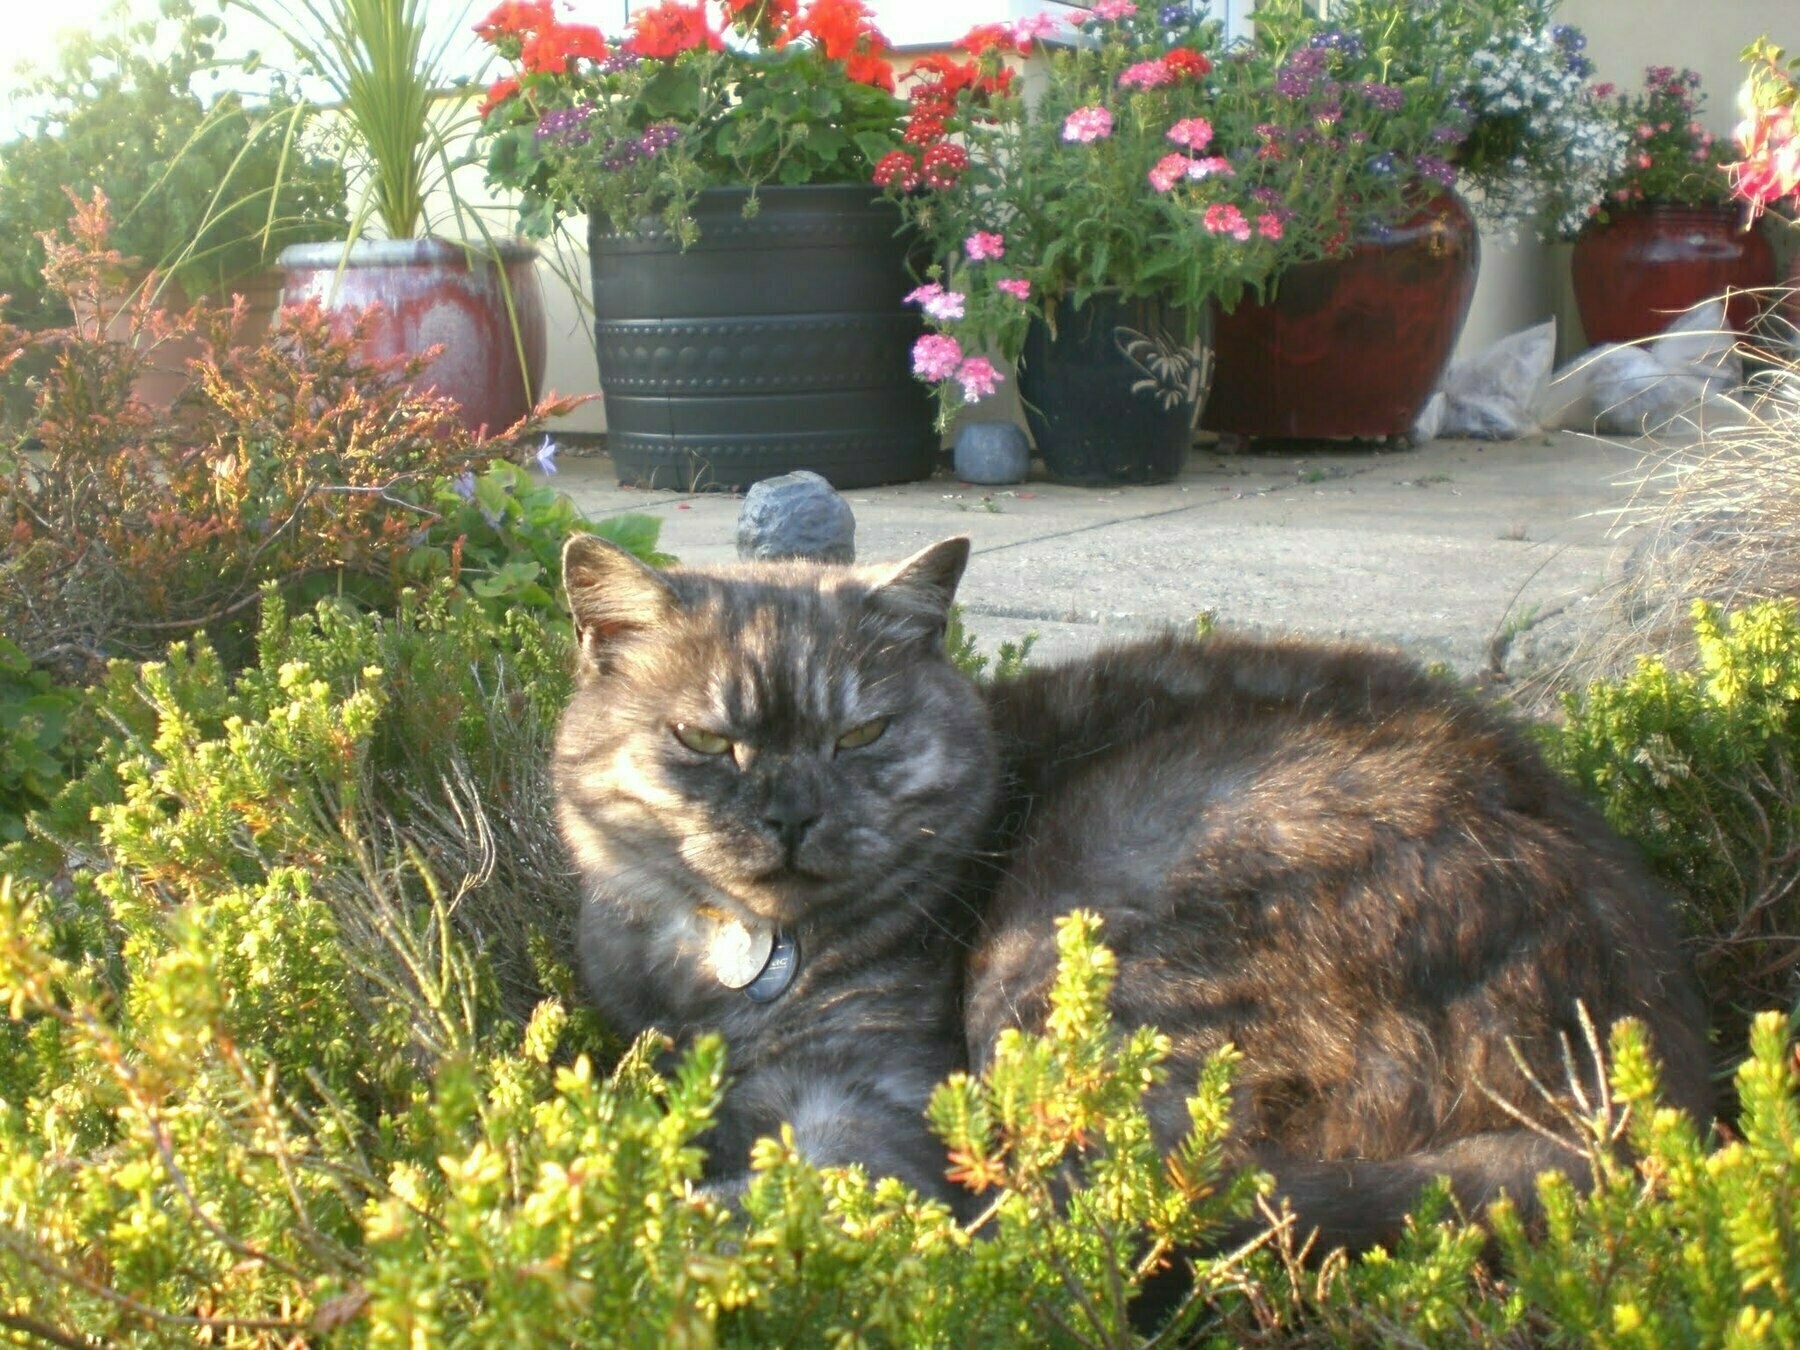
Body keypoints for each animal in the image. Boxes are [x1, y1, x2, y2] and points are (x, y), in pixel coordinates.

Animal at [554, 532, 1706, 1245]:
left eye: (862, 734)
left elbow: (783, 1193)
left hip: (1073, 935)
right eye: (708, 741)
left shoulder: (876, 1102)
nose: (791, 814)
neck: (729, 973)